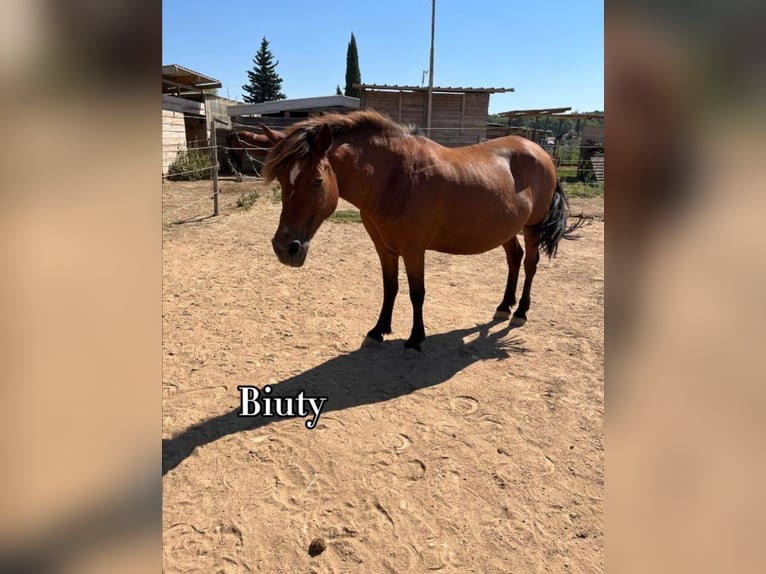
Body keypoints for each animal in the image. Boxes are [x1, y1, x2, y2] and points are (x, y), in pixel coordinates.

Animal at [260, 108, 580, 352]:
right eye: (282, 180)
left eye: (316, 181)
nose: (285, 248)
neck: (394, 179)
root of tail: (539, 151)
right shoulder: (384, 249)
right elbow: (390, 287)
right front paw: (379, 330)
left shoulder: (414, 250)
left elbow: (417, 292)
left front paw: (415, 338)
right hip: (506, 230)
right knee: (514, 258)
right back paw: (504, 307)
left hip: (532, 227)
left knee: (530, 264)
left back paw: (521, 312)